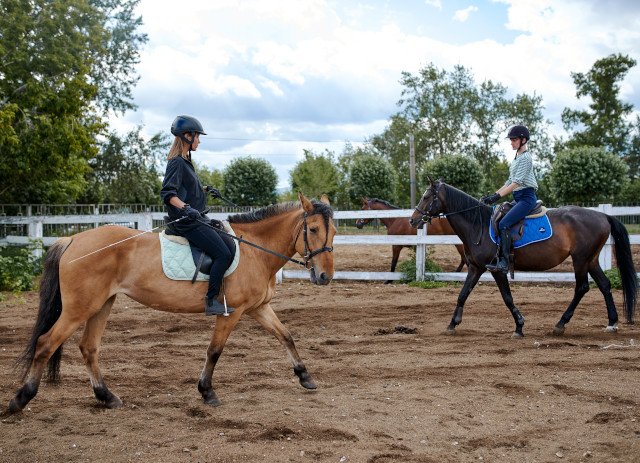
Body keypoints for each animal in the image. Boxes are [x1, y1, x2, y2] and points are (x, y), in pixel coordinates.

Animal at [7, 192, 338, 414]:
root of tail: (72, 240)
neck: (255, 250)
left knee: (88, 347)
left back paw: (106, 397)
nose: (324, 276)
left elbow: (286, 336)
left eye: (334, 231)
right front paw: (207, 392)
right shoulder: (231, 312)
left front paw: (306, 377)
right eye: (312, 230)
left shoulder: (258, 308)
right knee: (45, 343)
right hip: (80, 308)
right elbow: (214, 350)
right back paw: (20, 399)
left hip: (102, 304)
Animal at [410, 180, 636, 338]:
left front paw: (519, 326)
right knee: (605, 285)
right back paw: (611, 323)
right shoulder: (475, 267)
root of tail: (603, 216)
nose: (413, 220)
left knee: (582, 288)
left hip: (580, 260)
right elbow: (462, 294)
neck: (479, 226)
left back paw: (560, 324)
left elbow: (507, 297)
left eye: (427, 196)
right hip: (591, 260)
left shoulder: (496, 270)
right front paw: (452, 324)